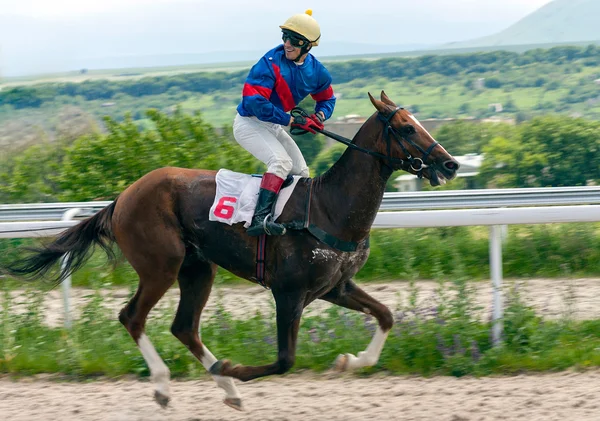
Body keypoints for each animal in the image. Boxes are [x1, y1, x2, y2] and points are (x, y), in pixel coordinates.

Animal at [3, 92, 460, 410]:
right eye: (405, 128)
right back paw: (167, 385)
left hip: (197, 268)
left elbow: (386, 316)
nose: (450, 164)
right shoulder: (289, 293)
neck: (331, 208)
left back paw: (225, 387)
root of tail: (122, 198)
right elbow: (285, 359)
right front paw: (236, 369)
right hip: (160, 266)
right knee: (132, 316)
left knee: (184, 327)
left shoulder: (336, 287)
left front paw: (350, 361)